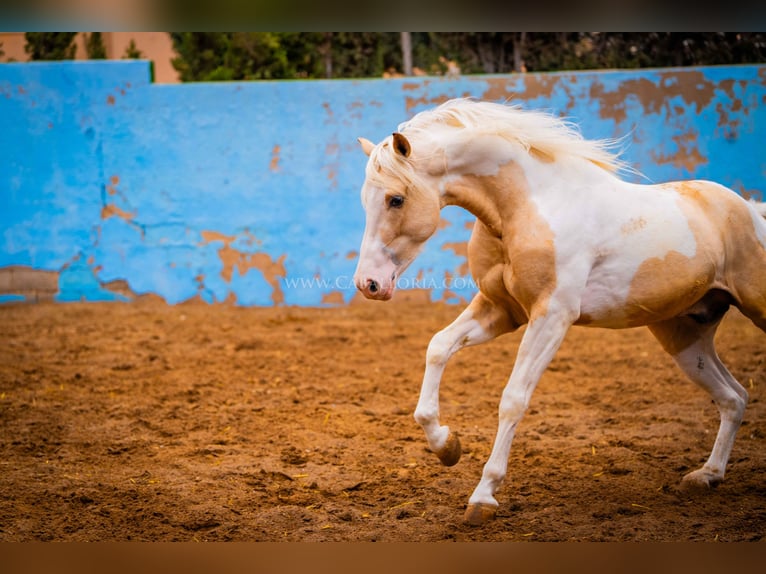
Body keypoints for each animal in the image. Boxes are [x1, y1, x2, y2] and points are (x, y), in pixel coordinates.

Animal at [354, 98, 766, 528]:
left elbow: (513, 398)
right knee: (734, 398)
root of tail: (752, 213)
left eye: (395, 199)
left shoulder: (552, 316)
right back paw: (707, 475)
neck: (528, 206)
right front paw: (447, 445)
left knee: (734, 395)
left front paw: (484, 495)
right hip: (684, 338)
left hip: (753, 308)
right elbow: (437, 347)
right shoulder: (500, 309)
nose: (368, 283)